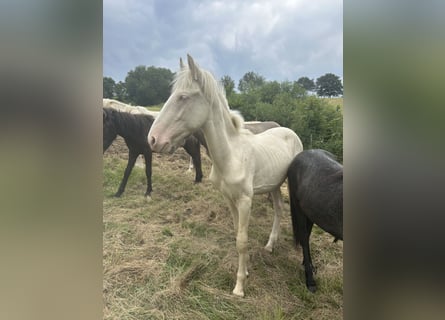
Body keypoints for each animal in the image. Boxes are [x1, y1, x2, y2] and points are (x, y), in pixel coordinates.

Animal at [147, 53, 304, 296]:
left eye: (183, 97)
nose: (153, 139)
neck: (231, 156)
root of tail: (290, 132)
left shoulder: (245, 201)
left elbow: (242, 240)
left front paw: (239, 287)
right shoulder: (229, 199)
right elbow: (236, 233)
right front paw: (246, 271)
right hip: (275, 185)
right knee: (278, 208)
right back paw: (270, 245)